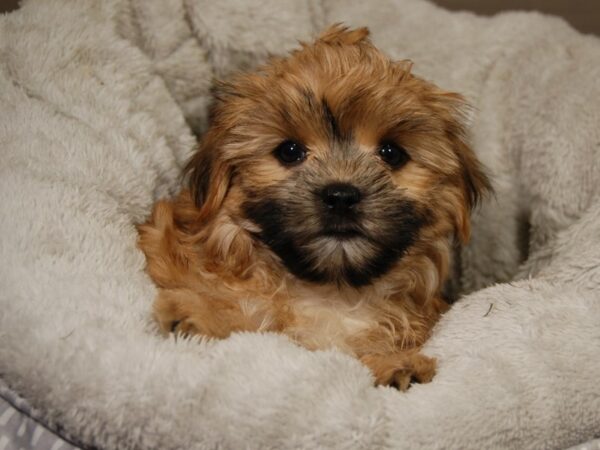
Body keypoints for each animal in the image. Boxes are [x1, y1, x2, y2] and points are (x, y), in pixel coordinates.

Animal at [138, 25, 490, 390]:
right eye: (290, 151)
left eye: (391, 153)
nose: (341, 196)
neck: (330, 292)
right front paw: (200, 313)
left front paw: (396, 362)